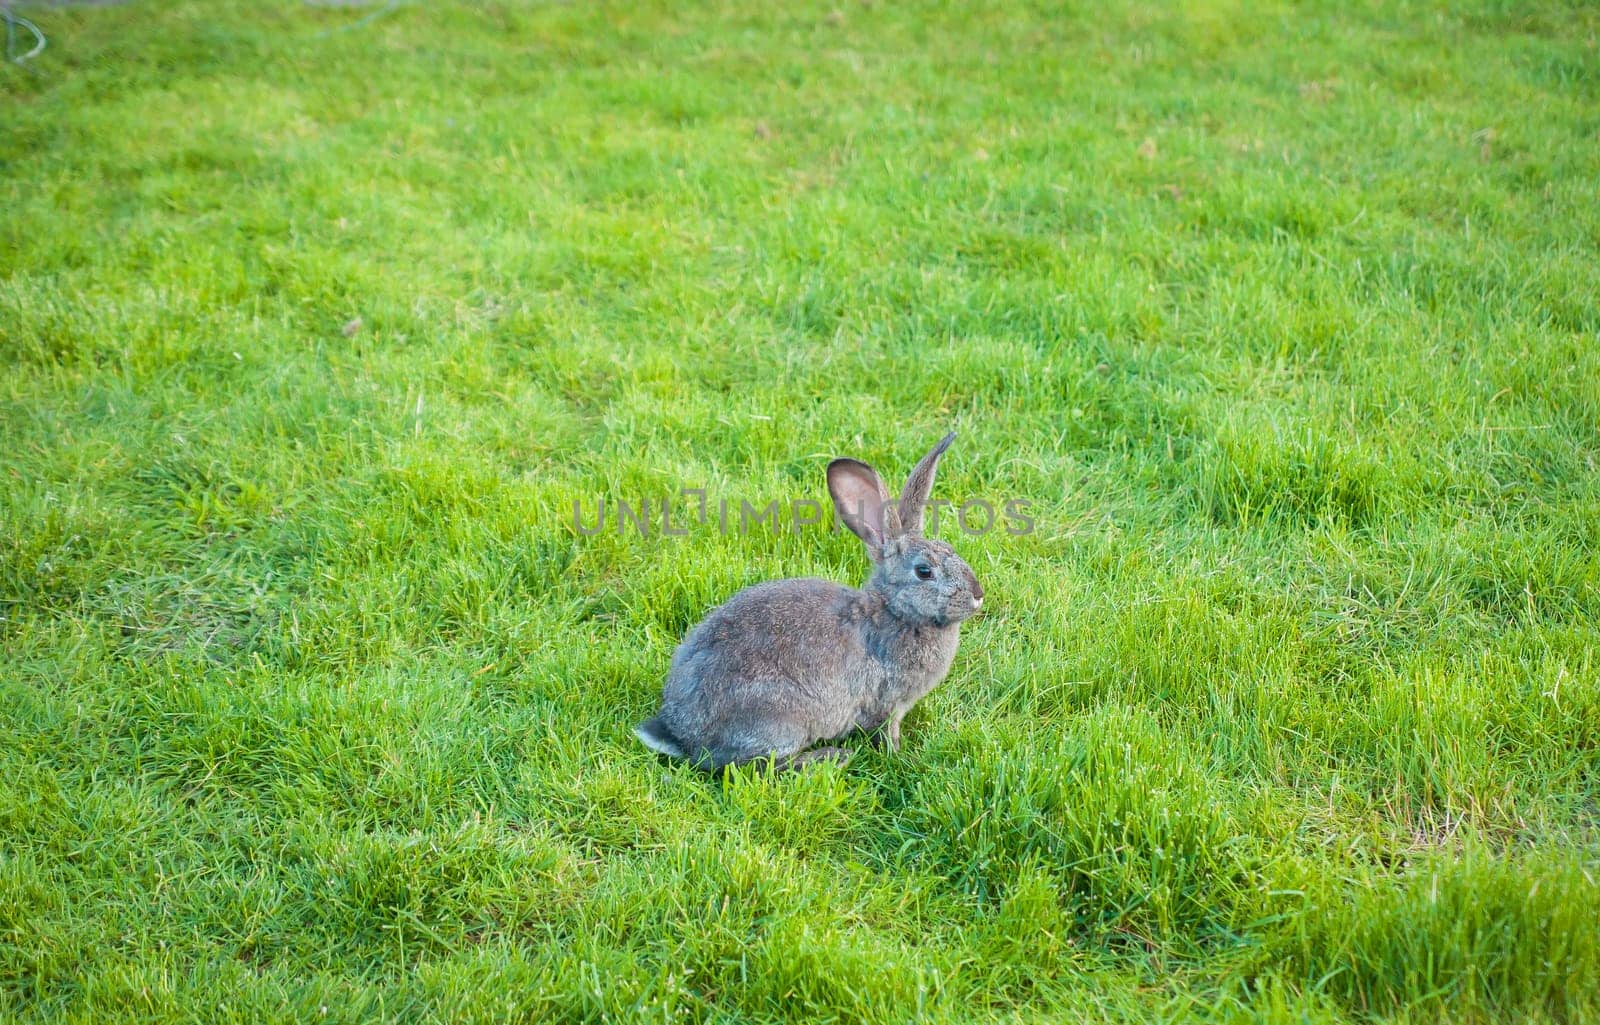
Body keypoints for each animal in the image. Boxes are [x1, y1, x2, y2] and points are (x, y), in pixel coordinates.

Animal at [636, 428, 985, 767]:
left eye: (950, 548)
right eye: (924, 571)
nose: (978, 595)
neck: (895, 611)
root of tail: (683, 735)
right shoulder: (888, 701)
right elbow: (887, 732)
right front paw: (899, 756)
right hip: (780, 719)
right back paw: (830, 757)